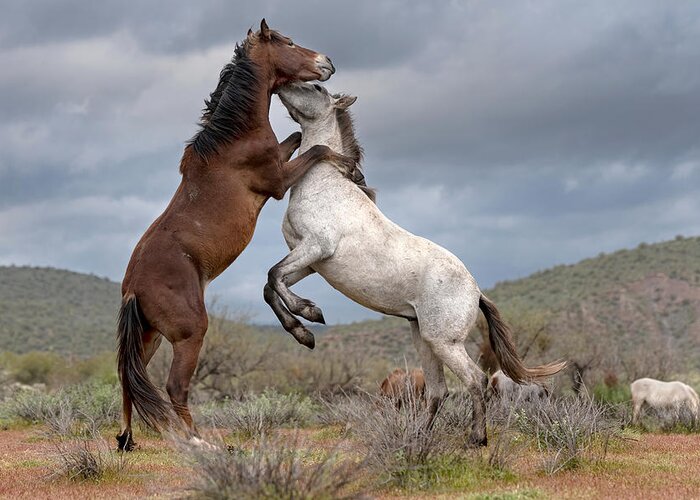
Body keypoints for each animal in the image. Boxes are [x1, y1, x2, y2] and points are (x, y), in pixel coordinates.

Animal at [116, 19, 356, 452]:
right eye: (288, 42)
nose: (326, 62)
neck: (232, 140)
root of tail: (132, 288)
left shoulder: (281, 157)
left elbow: (299, 139)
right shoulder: (277, 180)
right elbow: (316, 150)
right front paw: (350, 166)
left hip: (149, 337)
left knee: (130, 378)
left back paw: (127, 440)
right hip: (190, 333)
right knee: (175, 387)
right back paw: (201, 443)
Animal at [266, 82, 568, 446]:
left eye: (317, 87)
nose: (280, 86)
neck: (326, 185)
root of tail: (477, 291)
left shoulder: (315, 247)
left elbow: (273, 276)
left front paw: (310, 317)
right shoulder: (309, 262)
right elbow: (271, 285)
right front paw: (303, 331)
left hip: (444, 343)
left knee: (475, 380)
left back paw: (476, 438)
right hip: (423, 339)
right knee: (439, 391)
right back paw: (419, 440)